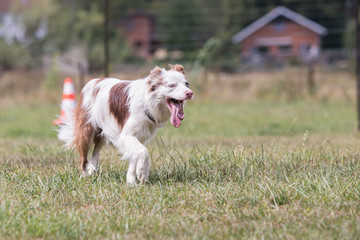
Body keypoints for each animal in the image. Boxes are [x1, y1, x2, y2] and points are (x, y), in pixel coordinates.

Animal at [58, 63, 194, 184]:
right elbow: (143, 152)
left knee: (96, 150)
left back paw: (92, 169)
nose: (190, 93)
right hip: (86, 132)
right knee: (83, 158)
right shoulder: (126, 136)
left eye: (187, 84)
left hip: (103, 132)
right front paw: (142, 173)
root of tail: (94, 81)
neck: (147, 102)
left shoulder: (138, 136)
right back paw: (84, 176)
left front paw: (131, 181)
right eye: (172, 85)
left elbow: (135, 158)